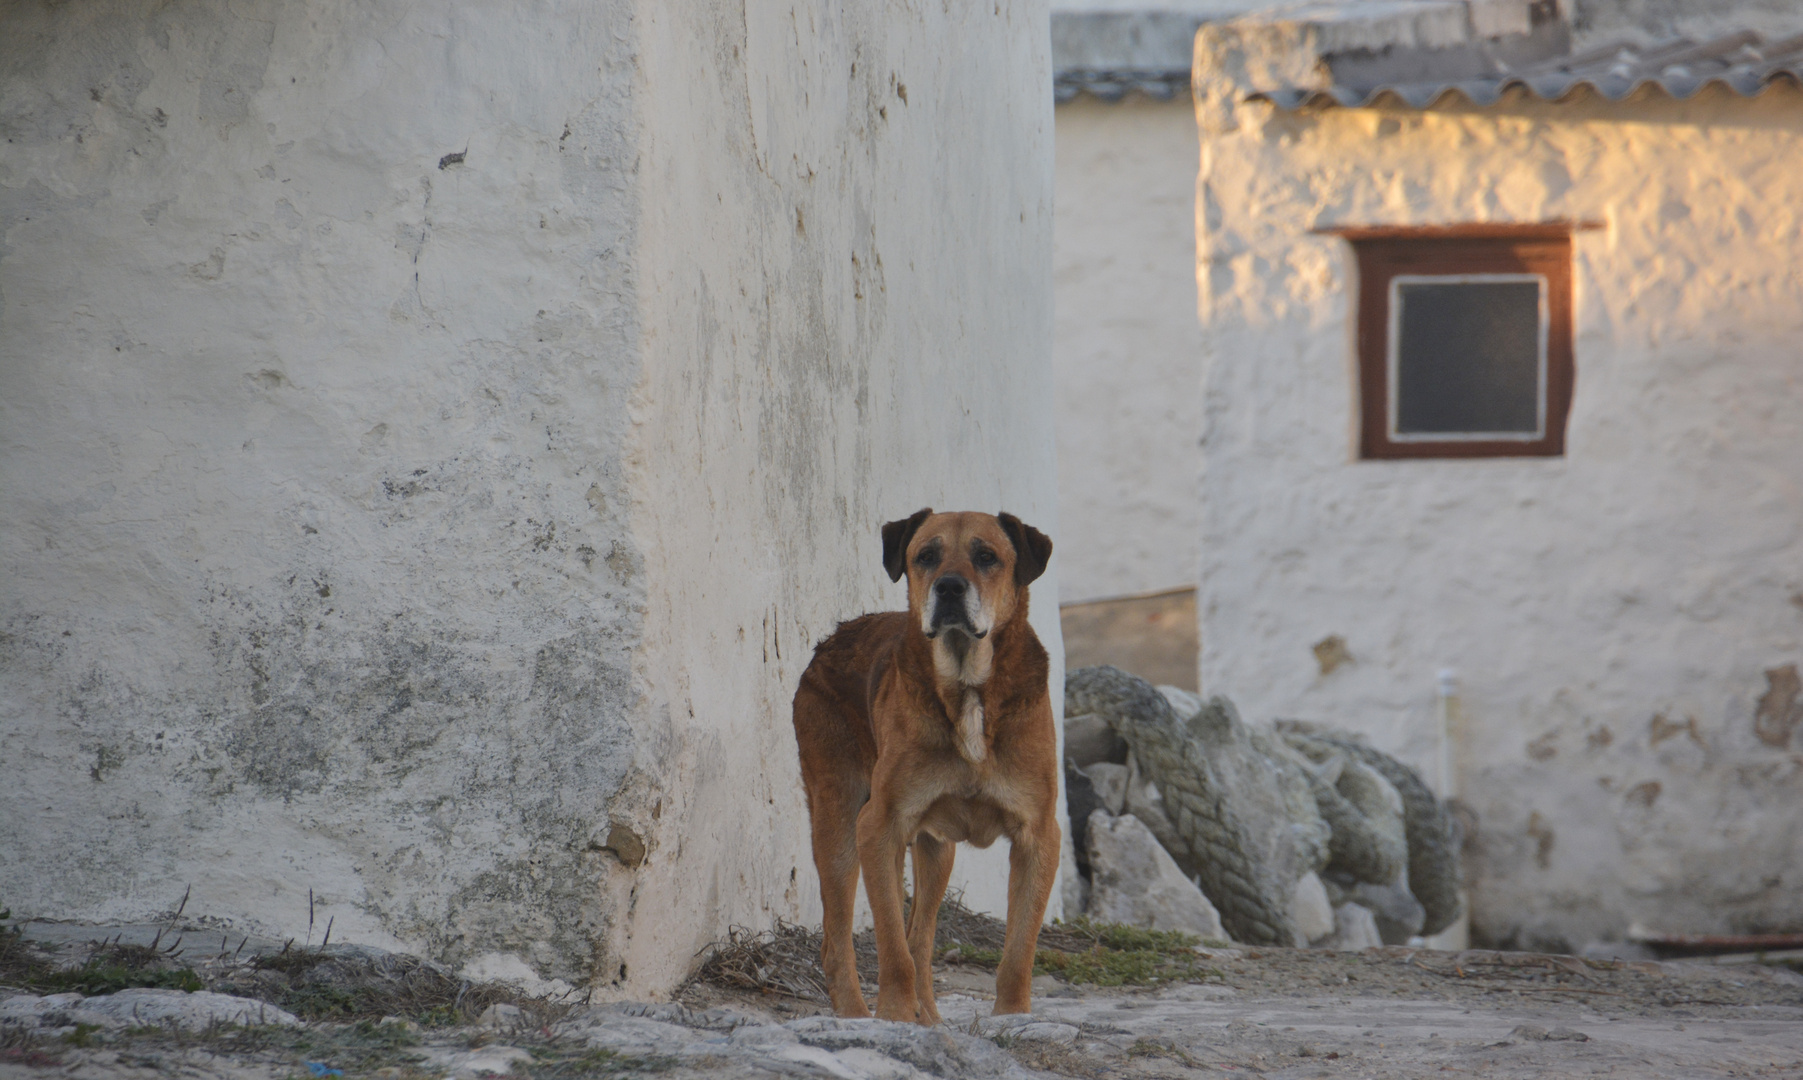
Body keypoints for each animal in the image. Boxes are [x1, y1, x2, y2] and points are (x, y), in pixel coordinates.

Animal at [789, 512, 1052, 1024]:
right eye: (925, 556)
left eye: (987, 556)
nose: (948, 587)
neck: (968, 687)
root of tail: (828, 641)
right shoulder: (879, 826)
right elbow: (892, 947)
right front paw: (893, 1015)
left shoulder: (1038, 836)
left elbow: (1018, 950)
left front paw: (1014, 1016)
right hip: (839, 825)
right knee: (840, 943)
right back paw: (859, 1015)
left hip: (936, 850)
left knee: (922, 935)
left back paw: (927, 1016)